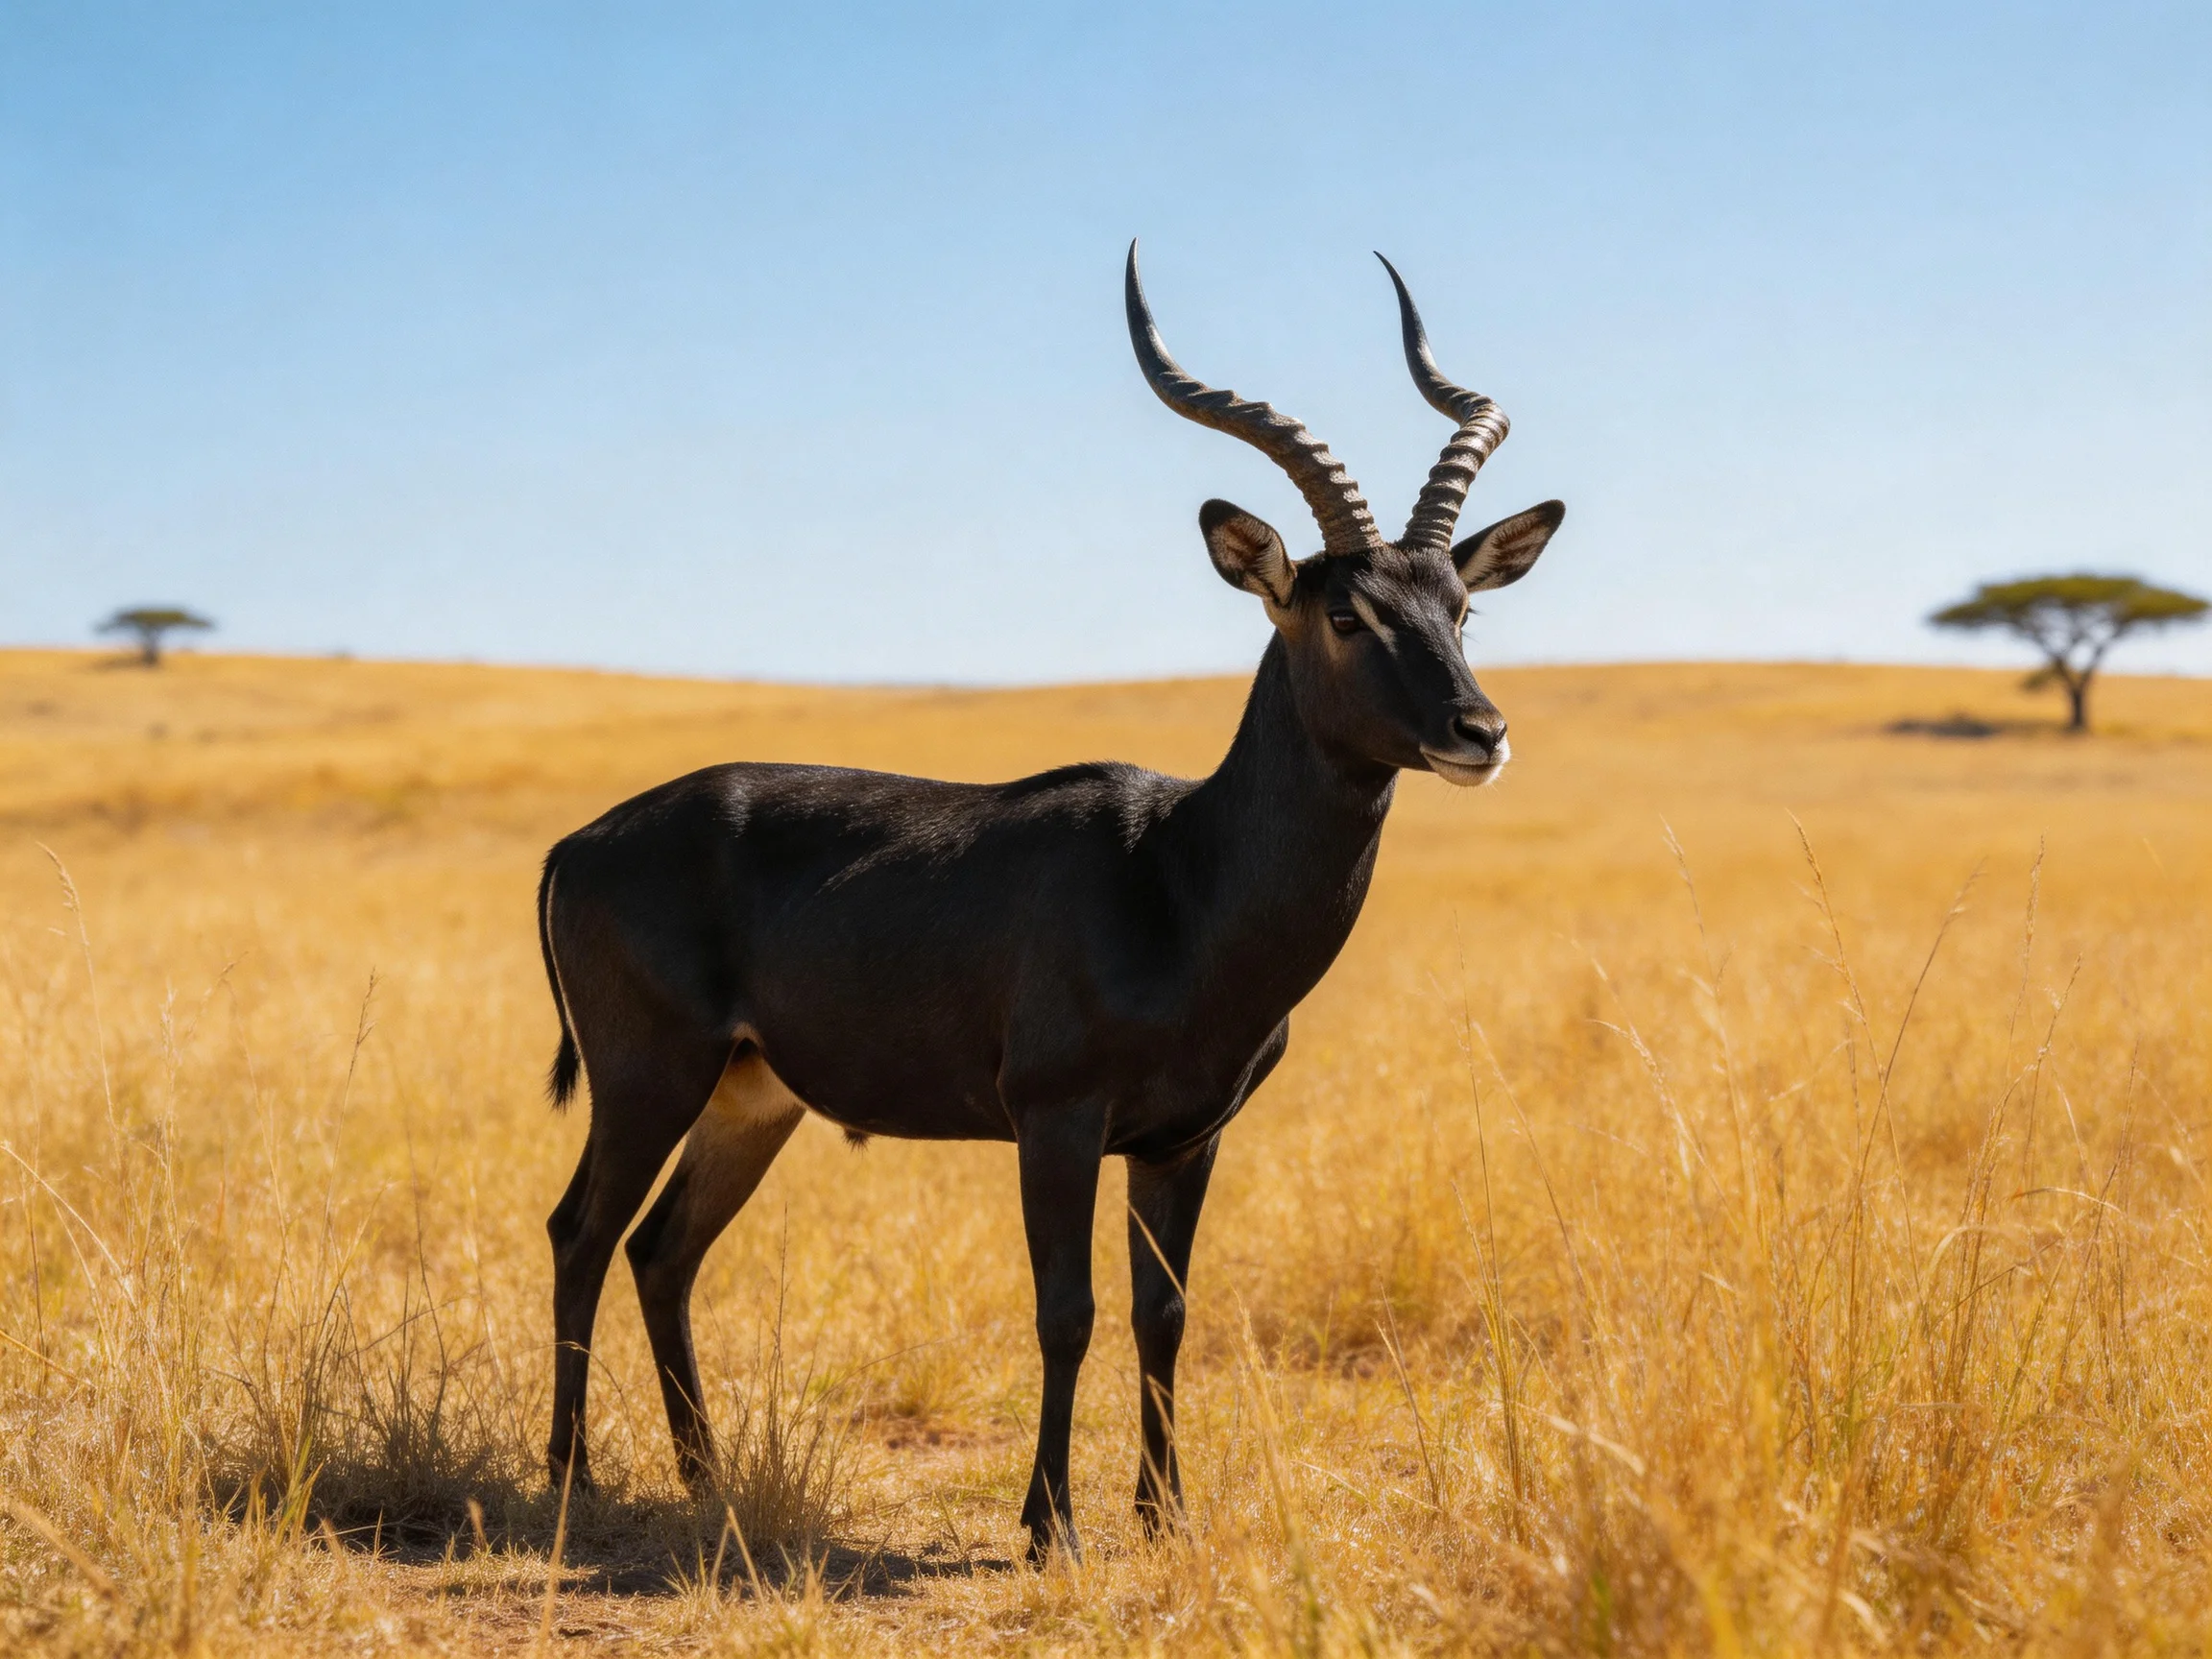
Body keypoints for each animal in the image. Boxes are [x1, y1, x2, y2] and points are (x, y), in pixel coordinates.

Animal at [535, 244, 1563, 1560]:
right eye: (1347, 610)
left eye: (1462, 608)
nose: (1479, 731)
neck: (1179, 877)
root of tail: (579, 841)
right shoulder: (1056, 1120)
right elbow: (1063, 1311)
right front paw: (1049, 1525)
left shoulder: (1185, 1139)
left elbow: (1163, 1317)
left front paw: (1167, 1517)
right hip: (648, 1078)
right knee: (581, 1233)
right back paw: (572, 1477)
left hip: (751, 1097)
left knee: (663, 1252)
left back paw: (702, 1479)